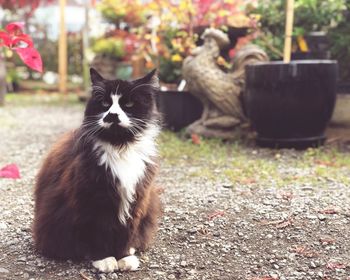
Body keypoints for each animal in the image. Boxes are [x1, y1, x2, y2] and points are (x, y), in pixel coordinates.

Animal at [32, 68, 161, 274]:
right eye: (105, 104)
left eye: (129, 104)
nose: (112, 115)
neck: (119, 146)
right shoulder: (92, 200)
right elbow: (98, 231)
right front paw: (104, 259)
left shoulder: (136, 199)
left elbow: (127, 232)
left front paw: (124, 256)